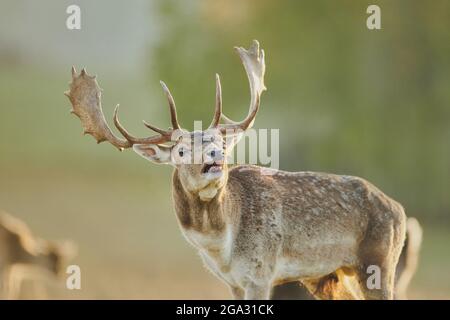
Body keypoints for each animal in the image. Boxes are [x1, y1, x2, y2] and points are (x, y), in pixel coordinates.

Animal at [65, 40, 406, 300]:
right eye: (181, 150)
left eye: (221, 143)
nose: (215, 156)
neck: (222, 249)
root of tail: (399, 209)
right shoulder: (234, 283)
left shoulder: (261, 272)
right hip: (330, 275)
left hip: (379, 262)